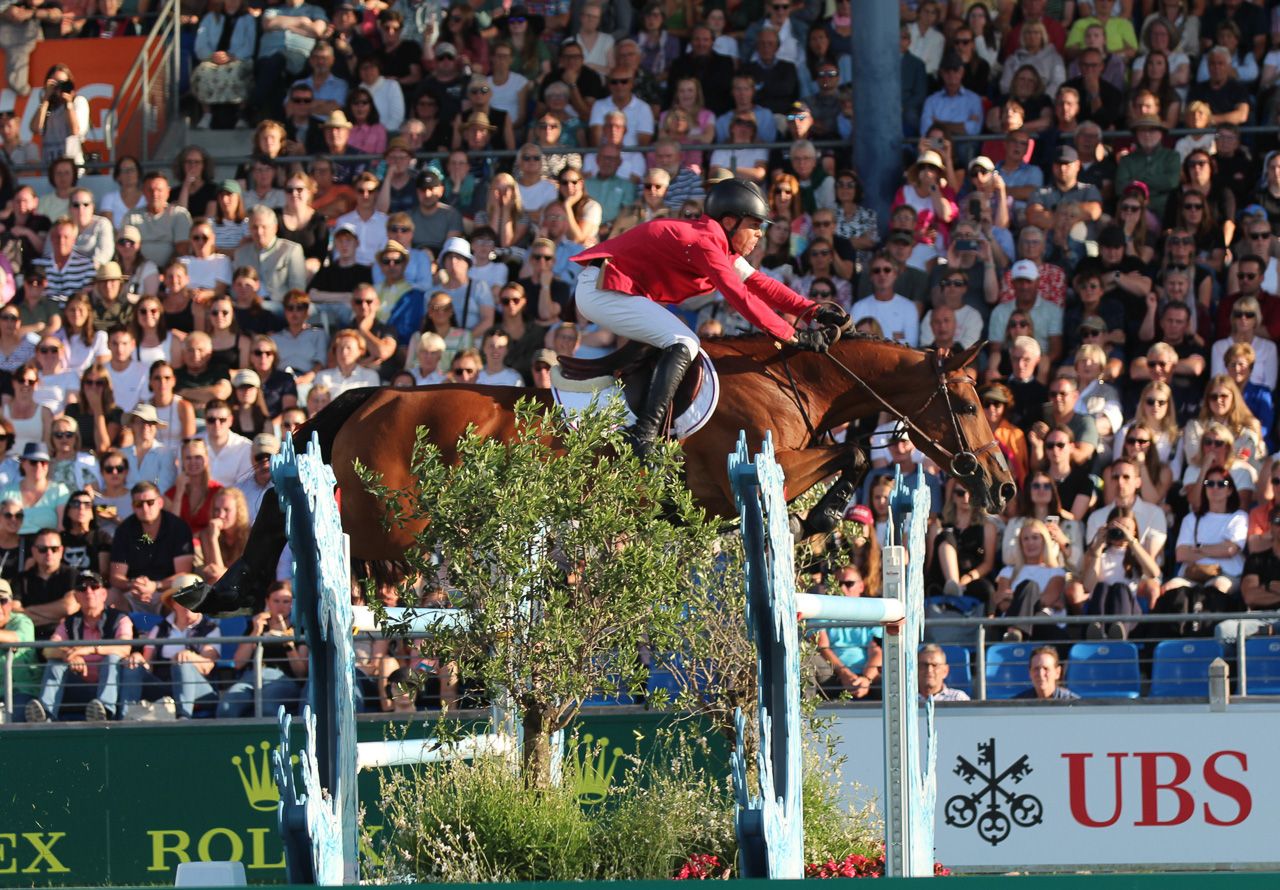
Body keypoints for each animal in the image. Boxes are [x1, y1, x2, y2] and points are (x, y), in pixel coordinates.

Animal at [179, 334, 1015, 615]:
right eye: (972, 401)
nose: (1003, 488)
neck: (791, 378)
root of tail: (377, 395)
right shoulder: (737, 474)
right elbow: (847, 453)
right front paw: (822, 514)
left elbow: (852, 449)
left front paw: (826, 515)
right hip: (390, 522)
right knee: (332, 540)